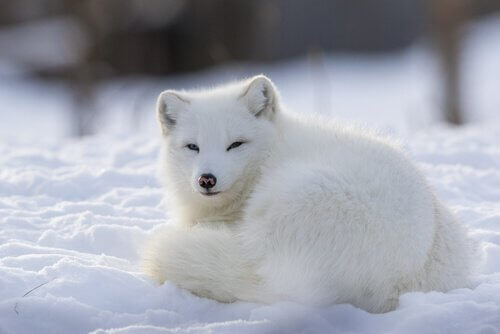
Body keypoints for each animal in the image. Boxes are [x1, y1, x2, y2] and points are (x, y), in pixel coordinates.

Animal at [144, 75, 472, 314]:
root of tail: (396, 281)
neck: (273, 151)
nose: (206, 180)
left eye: (236, 144)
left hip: (287, 197)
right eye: (193, 147)